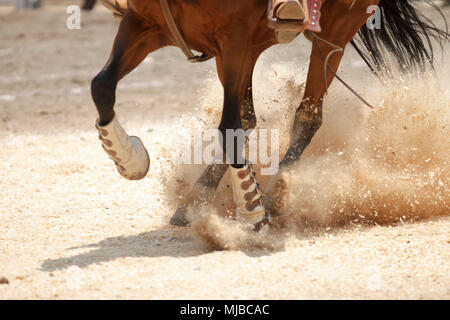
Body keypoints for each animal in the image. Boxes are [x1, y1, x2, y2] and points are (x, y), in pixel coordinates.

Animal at [90, 0, 446, 230]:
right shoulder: (143, 23)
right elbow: (102, 86)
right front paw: (130, 159)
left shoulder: (234, 41)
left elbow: (229, 127)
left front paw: (251, 209)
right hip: (254, 47)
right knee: (250, 119)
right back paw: (195, 201)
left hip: (336, 28)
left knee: (307, 115)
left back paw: (276, 196)